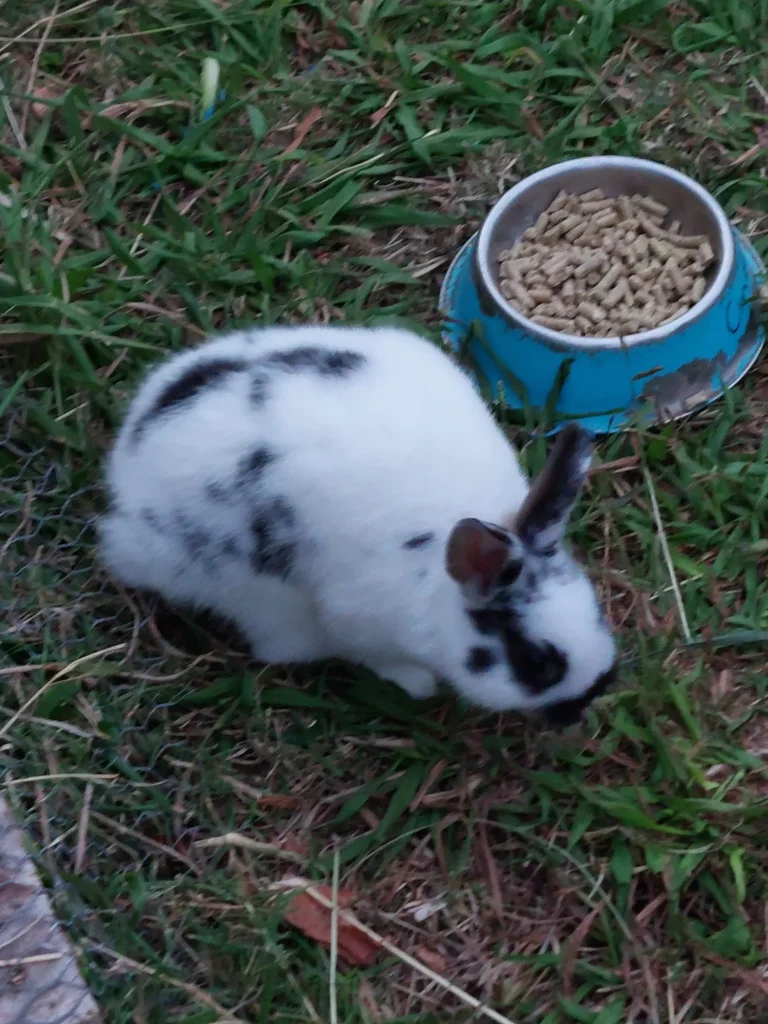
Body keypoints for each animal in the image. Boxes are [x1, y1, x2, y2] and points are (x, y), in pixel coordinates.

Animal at [100, 324, 617, 724]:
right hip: (260, 597)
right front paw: (418, 684)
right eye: (539, 663)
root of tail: (126, 466)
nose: (588, 702)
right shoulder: (359, 622)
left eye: (597, 611)